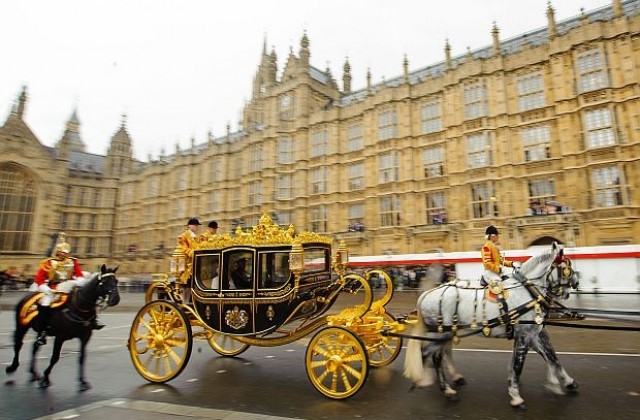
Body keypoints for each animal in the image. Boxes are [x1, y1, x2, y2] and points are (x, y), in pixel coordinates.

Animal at [404, 243, 580, 410]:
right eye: (566, 267)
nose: (576, 283)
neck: (528, 291)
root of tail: (426, 294)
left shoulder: (534, 333)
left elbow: (551, 356)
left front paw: (567, 382)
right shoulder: (525, 335)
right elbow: (519, 364)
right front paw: (516, 396)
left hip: (446, 333)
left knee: (440, 353)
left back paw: (446, 380)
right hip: (440, 334)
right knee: (431, 355)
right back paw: (439, 386)